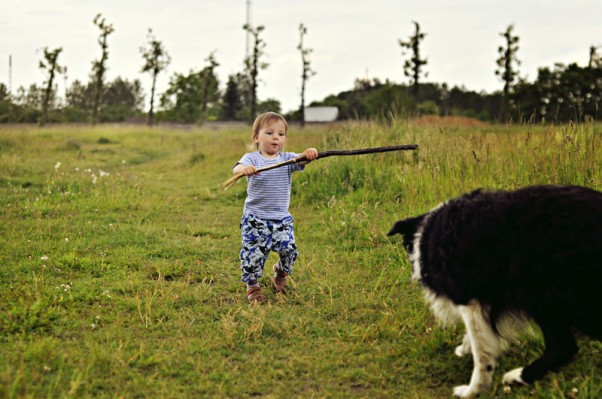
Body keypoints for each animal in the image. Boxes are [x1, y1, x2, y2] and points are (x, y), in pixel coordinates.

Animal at [386, 186, 596, 398]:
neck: (426, 235)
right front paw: (465, 348)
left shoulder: (468, 299)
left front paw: (473, 389)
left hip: (540, 290)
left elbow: (482, 353)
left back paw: (518, 376)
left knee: (563, 346)